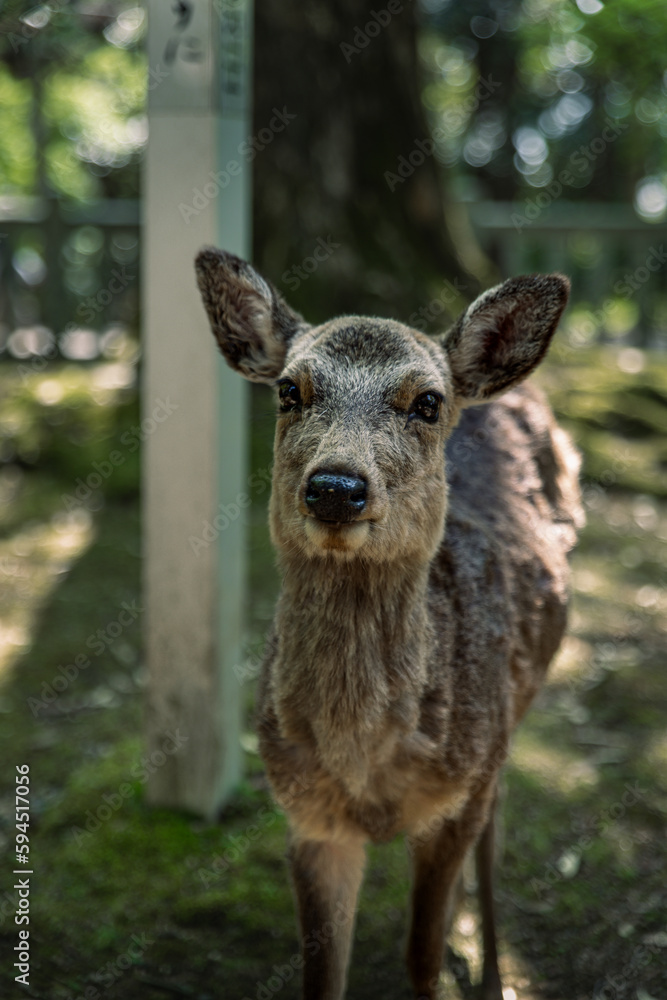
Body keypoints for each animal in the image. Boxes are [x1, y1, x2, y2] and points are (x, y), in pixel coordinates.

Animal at [194, 244, 584, 1000]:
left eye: (426, 402)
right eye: (288, 390)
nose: (335, 486)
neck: (367, 766)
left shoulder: (459, 790)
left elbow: (420, 958)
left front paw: (454, 960)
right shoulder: (306, 815)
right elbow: (323, 973)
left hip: (504, 727)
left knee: (495, 828)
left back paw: (493, 972)